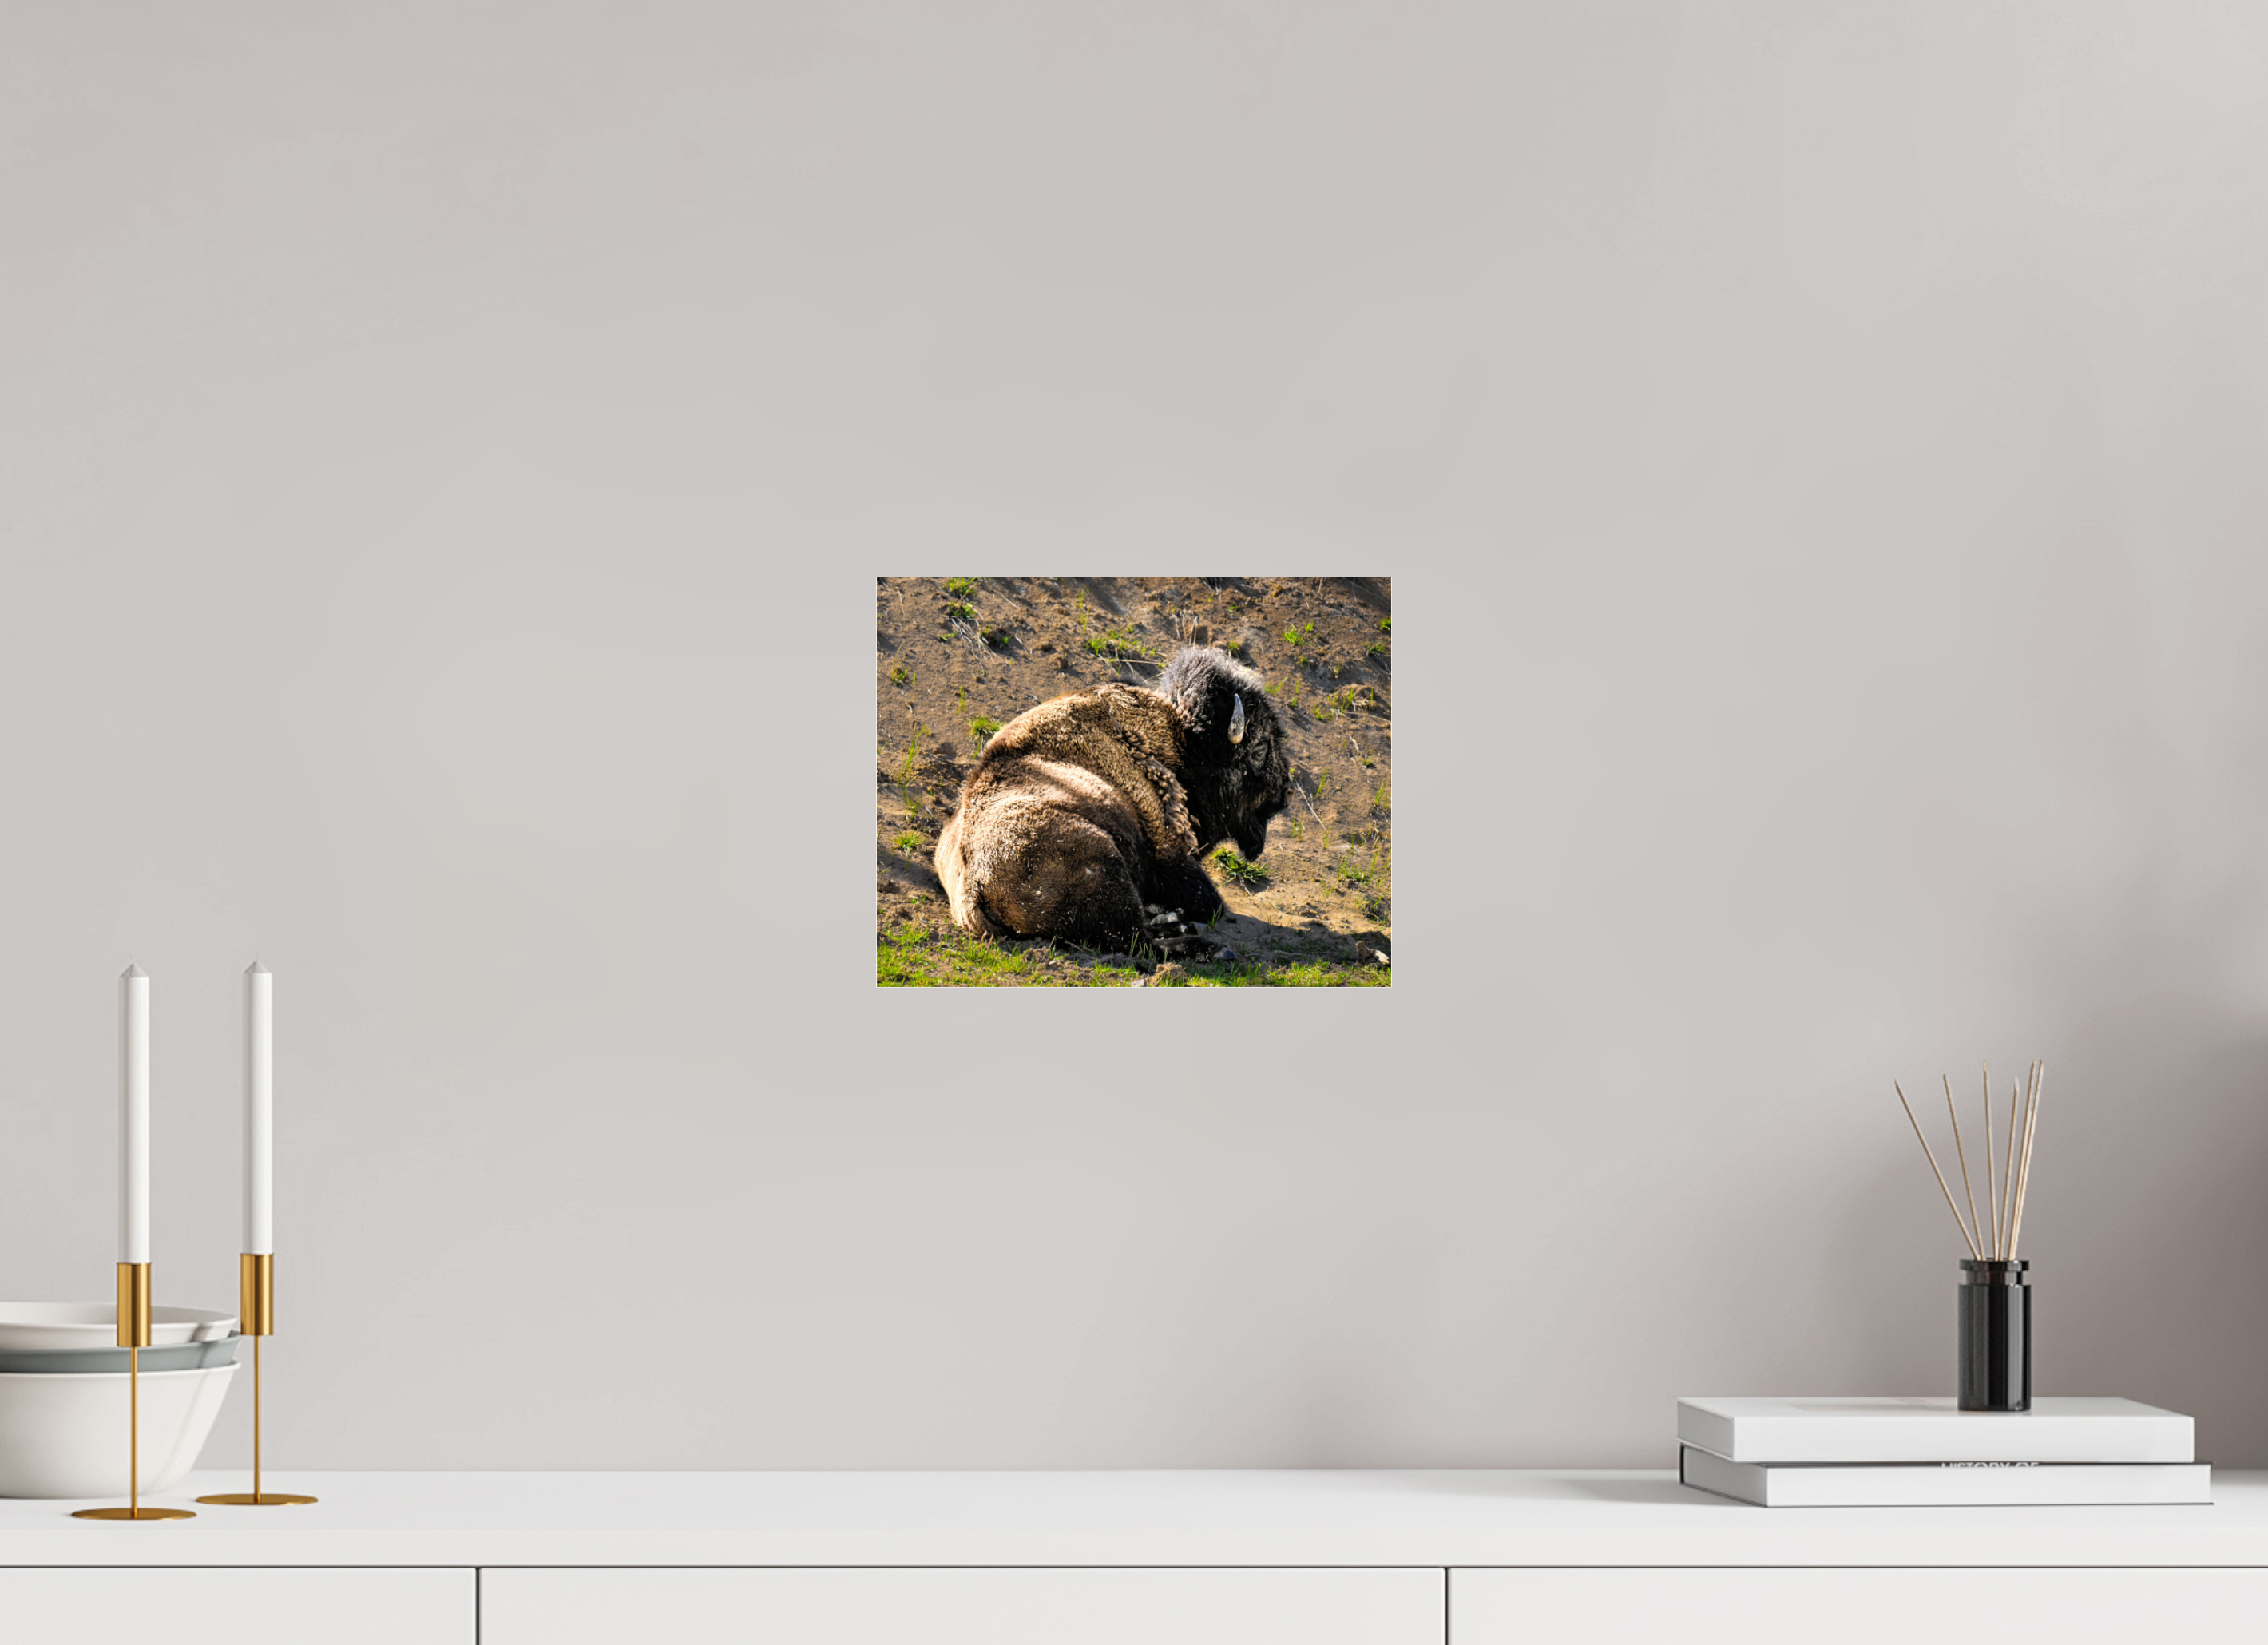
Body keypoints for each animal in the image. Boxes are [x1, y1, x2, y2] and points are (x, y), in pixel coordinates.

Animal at [934, 646, 1291, 958]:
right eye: (1259, 750)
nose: (1283, 794)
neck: (1182, 744)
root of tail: (975, 885)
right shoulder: (1169, 854)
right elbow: (1211, 903)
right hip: (1104, 864)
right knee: (1137, 941)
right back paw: (1209, 947)